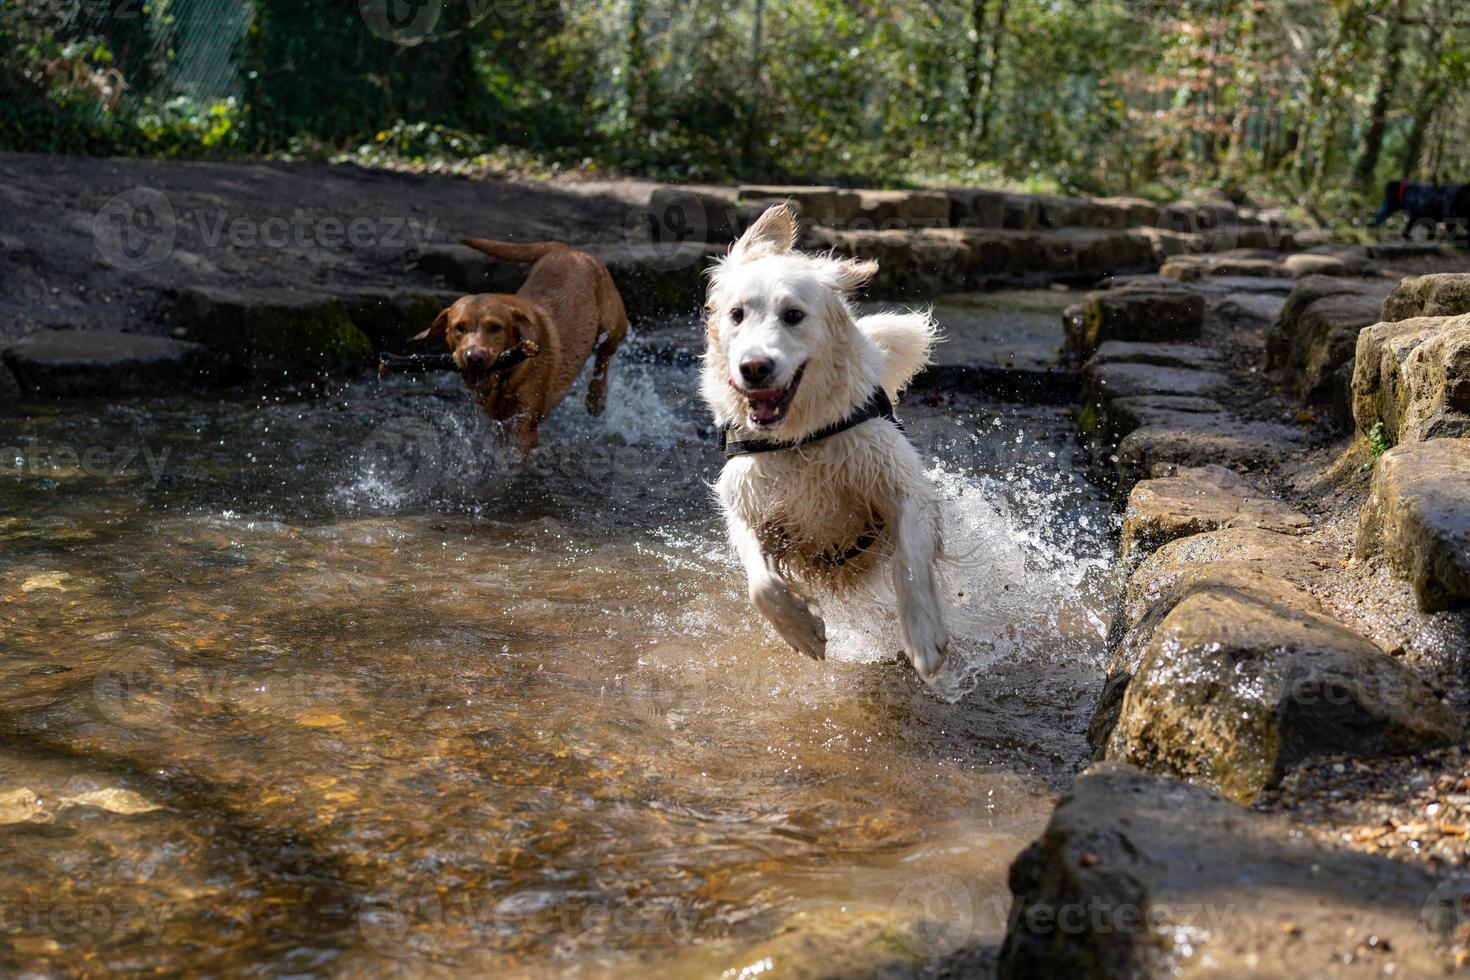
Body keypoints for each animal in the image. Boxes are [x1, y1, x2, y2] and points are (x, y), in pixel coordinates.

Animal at [414, 239, 626, 455]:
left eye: (495, 327)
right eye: (459, 327)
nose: (474, 357)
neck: (506, 375)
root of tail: (568, 250)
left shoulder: (525, 424)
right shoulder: (502, 421)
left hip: (613, 326)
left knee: (604, 356)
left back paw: (596, 398)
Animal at [702, 205, 952, 681]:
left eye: (793, 315)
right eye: (737, 314)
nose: (754, 368)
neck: (801, 438)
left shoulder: (902, 486)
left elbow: (908, 562)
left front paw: (923, 638)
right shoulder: (746, 499)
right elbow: (761, 583)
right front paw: (801, 629)